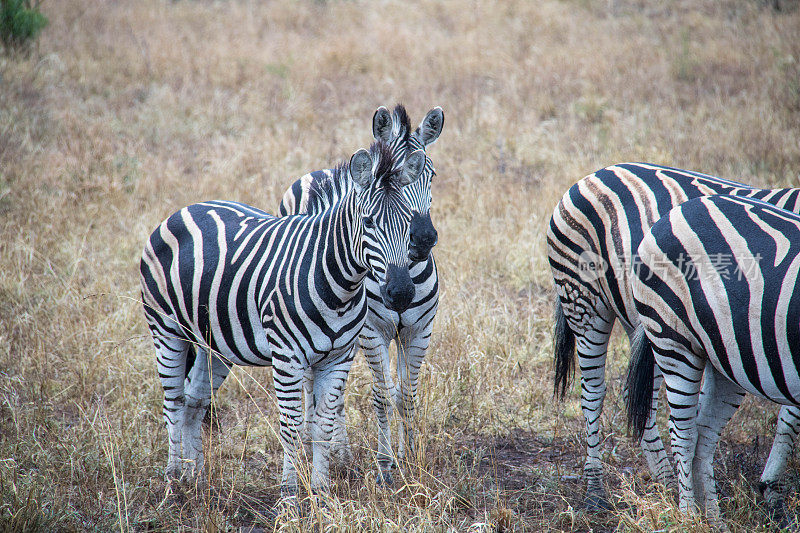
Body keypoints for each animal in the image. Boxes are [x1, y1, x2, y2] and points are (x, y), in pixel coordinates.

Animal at [142, 140, 432, 494]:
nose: (401, 293)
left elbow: (323, 423)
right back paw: (173, 483)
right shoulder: (287, 357)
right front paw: (289, 496)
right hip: (165, 329)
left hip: (216, 342)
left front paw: (321, 493)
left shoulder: (338, 357)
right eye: (368, 223)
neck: (339, 285)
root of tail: (183, 209)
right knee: (173, 402)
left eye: (408, 223)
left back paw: (195, 477)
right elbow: (292, 428)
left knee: (194, 401)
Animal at [280, 103, 444, 482]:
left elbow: (407, 395)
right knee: (314, 388)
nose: (424, 239)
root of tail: (319, 171)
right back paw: (328, 449)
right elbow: (382, 395)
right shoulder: (373, 331)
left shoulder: (419, 331)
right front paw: (384, 464)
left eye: (430, 176)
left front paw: (408, 459)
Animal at [628, 192, 800, 524]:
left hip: (728, 359)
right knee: (682, 433)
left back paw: (714, 520)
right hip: (674, 341)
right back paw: (688, 517)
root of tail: (673, 213)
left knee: (703, 436)